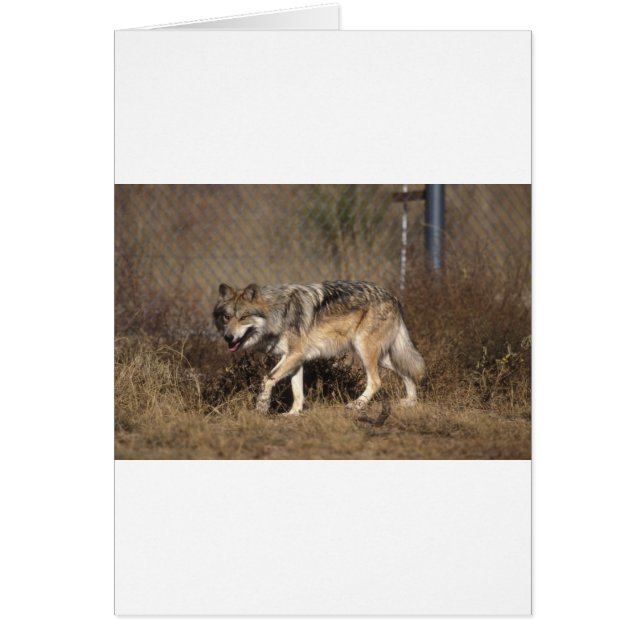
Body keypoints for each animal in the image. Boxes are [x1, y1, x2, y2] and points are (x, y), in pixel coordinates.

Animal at [213, 280, 425, 414]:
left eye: (243, 318)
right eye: (227, 317)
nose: (228, 337)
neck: (277, 312)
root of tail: (394, 297)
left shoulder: (295, 355)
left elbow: (267, 379)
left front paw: (261, 407)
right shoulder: (294, 358)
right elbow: (297, 391)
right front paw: (293, 413)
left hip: (364, 351)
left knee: (376, 381)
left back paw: (356, 405)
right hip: (381, 356)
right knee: (407, 371)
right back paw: (410, 402)